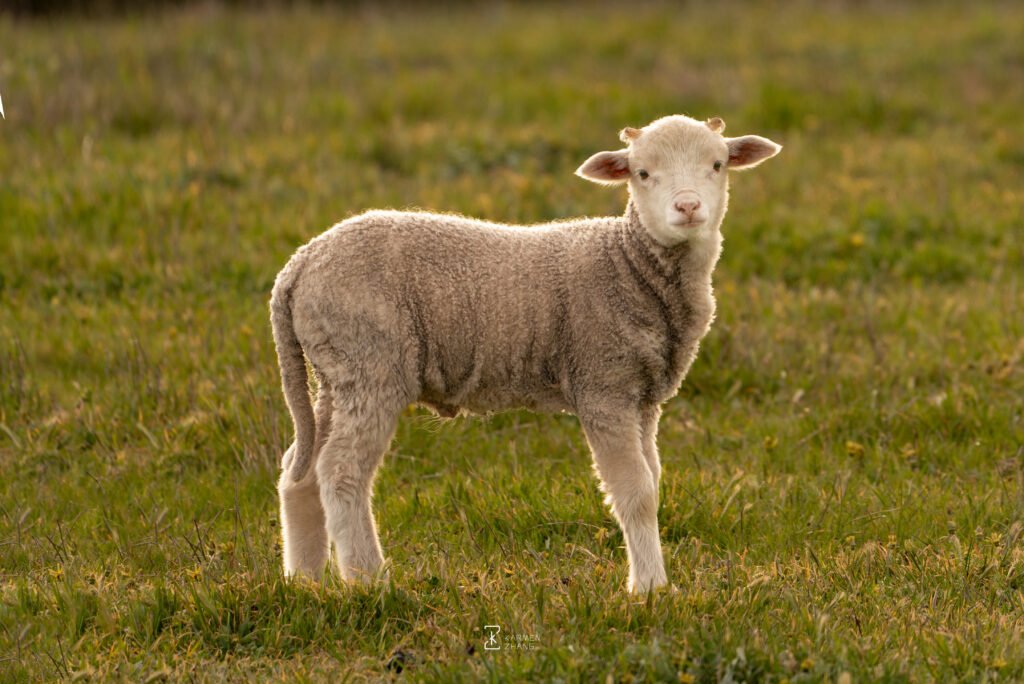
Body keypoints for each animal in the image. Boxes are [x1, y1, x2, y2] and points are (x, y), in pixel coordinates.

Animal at [270, 114, 781, 593]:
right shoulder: (604, 385)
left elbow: (653, 482)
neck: (630, 264)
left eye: (717, 164)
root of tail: (298, 266)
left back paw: (306, 582)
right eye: (642, 173)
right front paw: (651, 589)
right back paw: (369, 581)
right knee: (341, 471)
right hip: (369, 361)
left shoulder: (644, 398)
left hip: (335, 370)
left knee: (301, 469)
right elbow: (636, 494)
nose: (688, 206)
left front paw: (653, 580)